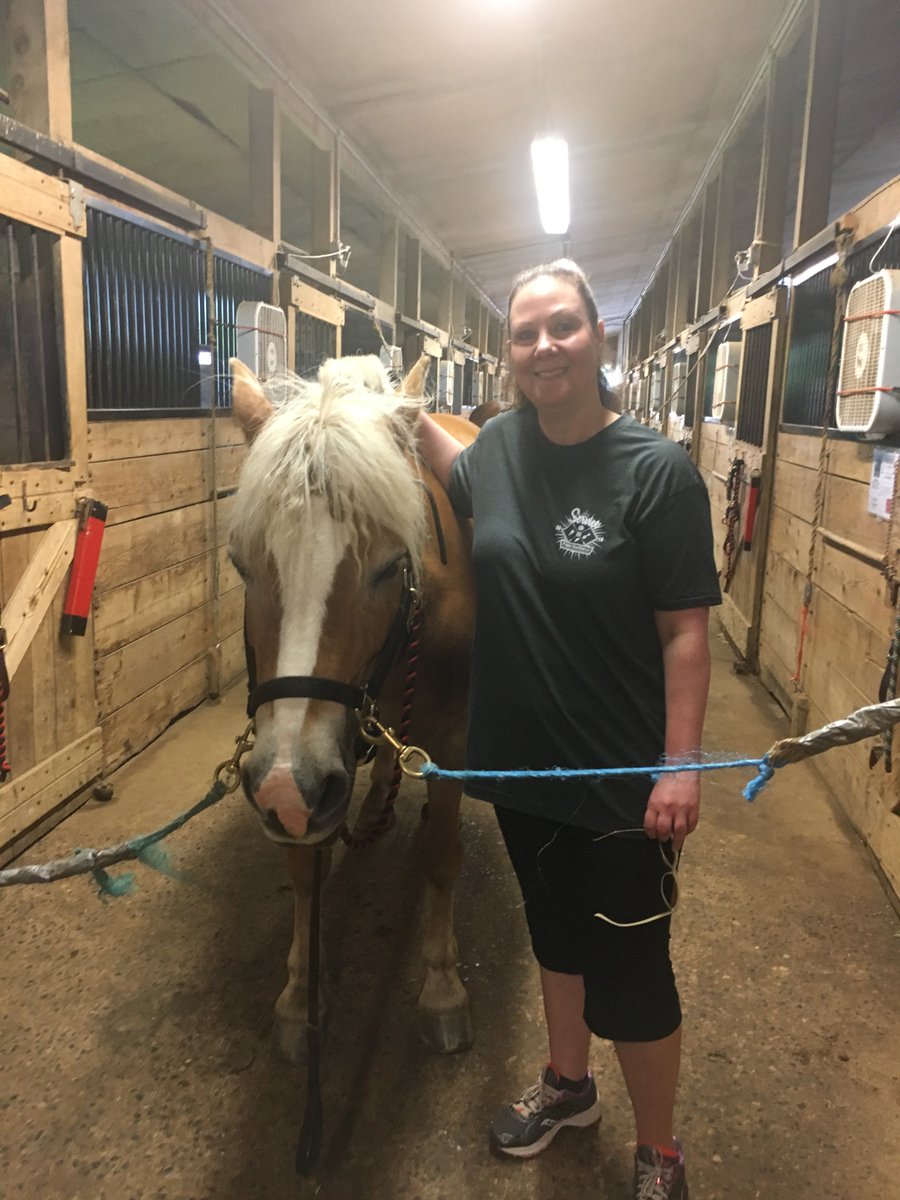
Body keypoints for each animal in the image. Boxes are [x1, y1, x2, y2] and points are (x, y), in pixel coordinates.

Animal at [228, 353, 477, 1064]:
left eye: (392, 566)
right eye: (241, 565)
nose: (285, 786)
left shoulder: (450, 737)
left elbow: (442, 855)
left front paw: (441, 986)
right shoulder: (306, 767)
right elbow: (304, 867)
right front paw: (299, 997)